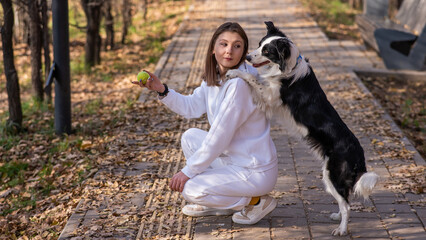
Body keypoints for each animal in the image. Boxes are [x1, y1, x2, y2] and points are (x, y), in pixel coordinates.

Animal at [226, 21, 380, 235]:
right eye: (259, 45)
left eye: (267, 51)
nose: (247, 57)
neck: (288, 67)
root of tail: (359, 153)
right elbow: (256, 76)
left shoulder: (270, 95)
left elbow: (251, 77)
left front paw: (234, 72)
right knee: (344, 201)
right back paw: (337, 217)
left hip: (332, 174)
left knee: (347, 205)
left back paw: (341, 229)